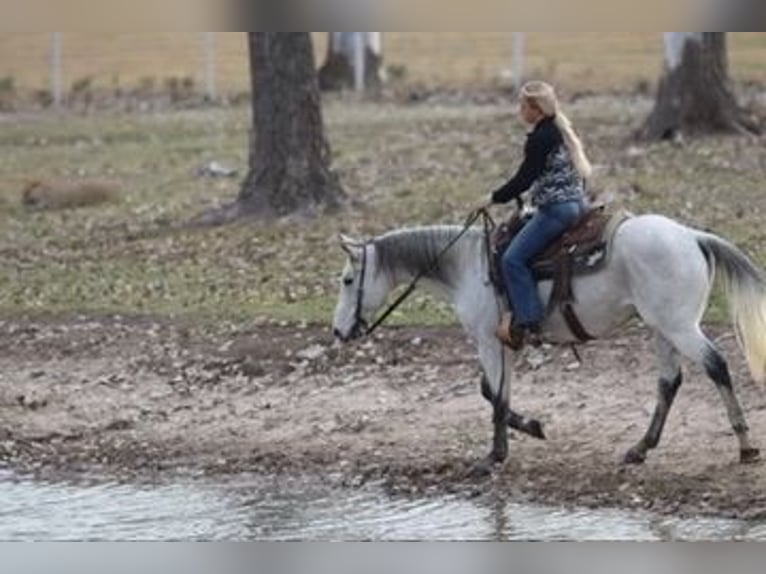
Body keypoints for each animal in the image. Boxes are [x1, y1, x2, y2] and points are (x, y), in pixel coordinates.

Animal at [332, 213, 766, 473]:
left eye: (348, 280)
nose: (339, 332)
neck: (468, 266)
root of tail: (693, 236)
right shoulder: (504, 345)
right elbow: (492, 392)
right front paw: (532, 427)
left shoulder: (489, 342)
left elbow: (495, 396)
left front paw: (494, 455)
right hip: (663, 329)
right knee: (669, 383)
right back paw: (640, 448)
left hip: (679, 327)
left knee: (717, 366)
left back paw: (745, 445)